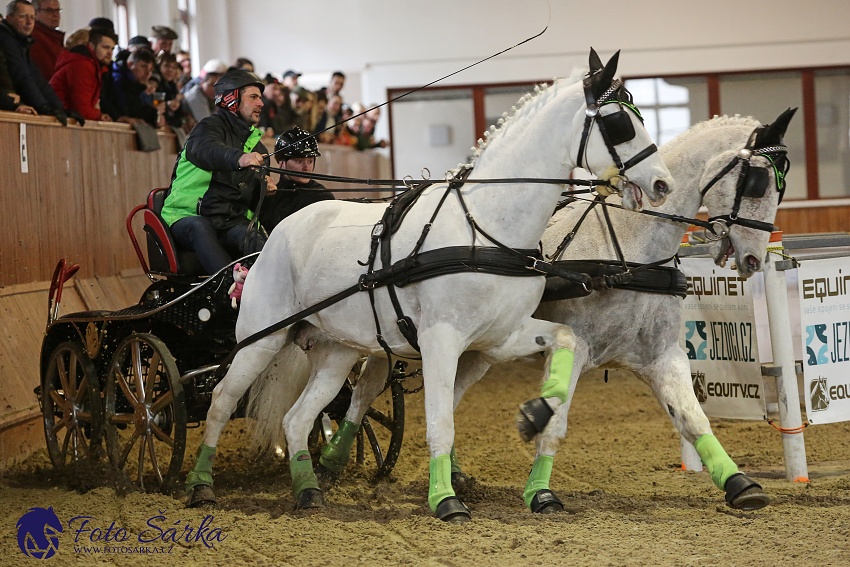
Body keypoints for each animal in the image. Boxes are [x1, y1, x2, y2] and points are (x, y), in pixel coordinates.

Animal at [182, 50, 672, 524]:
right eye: (620, 122)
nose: (662, 183)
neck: (485, 227)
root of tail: (280, 230)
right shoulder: (441, 340)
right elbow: (441, 422)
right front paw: (446, 500)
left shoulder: (501, 336)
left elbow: (565, 340)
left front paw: (535, 416)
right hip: (260, 339)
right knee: (222, 401)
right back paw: (200, 485)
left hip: (338, 352)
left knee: (298, 418)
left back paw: (308, 491)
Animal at [314, 107, 796, 516]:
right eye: (757, 181)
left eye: (780, 186)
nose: (754, 258)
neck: (628, 253)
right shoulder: (575, 349)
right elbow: (555, 422)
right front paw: (540, 492)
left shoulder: (662, 356)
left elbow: (693, 419)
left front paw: (739, 484)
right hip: (391, 340)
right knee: (363, 393)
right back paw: (332, 458)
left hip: (475, 351)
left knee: (445, 398)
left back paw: (450, 472)